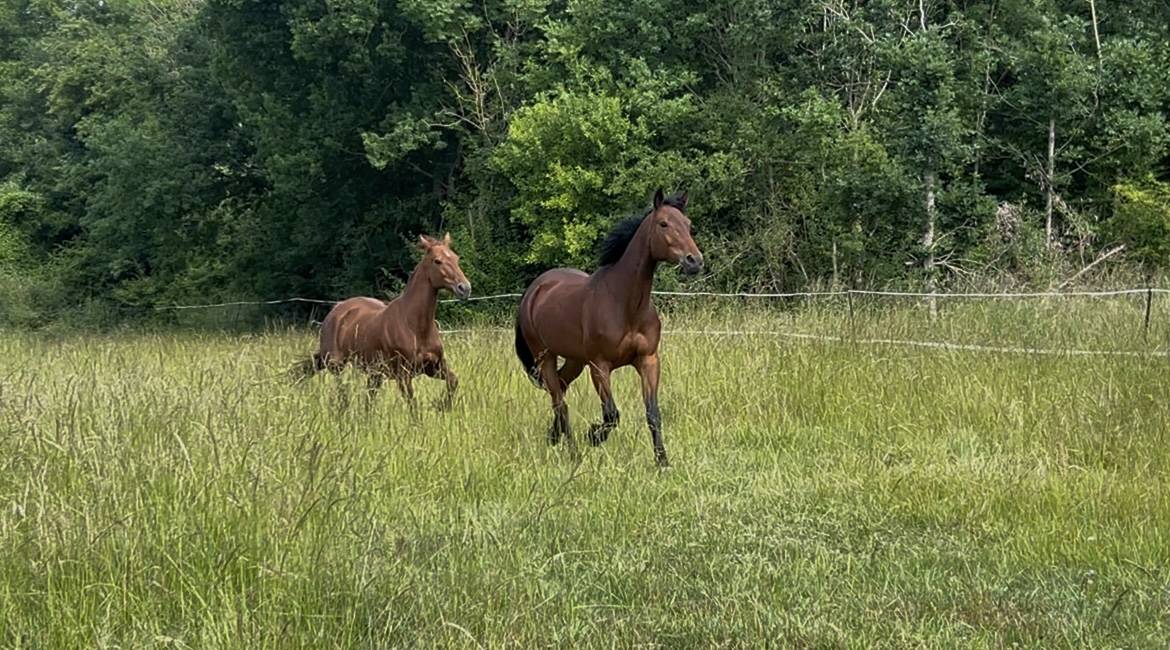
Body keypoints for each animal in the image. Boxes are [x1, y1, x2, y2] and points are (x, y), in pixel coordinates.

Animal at [293, 233, 471, 409]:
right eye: (437, 261)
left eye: (456, 258)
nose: (464, 288)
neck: (416, 327)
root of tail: (336, 311)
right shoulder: (403, 376)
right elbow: (413, 406)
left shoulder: (434, 367)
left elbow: (453, 382)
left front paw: (440, 406)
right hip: (337, 365)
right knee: (343, 393)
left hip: (374, 374)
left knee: (368, 401)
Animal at [513, 189, 703, 466]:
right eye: (664, 224)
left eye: (688, 225)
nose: (694, 261)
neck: (626, 304)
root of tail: (533, 290)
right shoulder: (600, 366)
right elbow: (612, 413)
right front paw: (593, 436)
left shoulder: (648, 360)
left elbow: (653, 413)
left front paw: (662, 461)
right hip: (545, 357)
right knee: (560, 401)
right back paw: (573, 453)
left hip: (575, 361)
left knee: (560, 388)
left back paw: (554, 437)